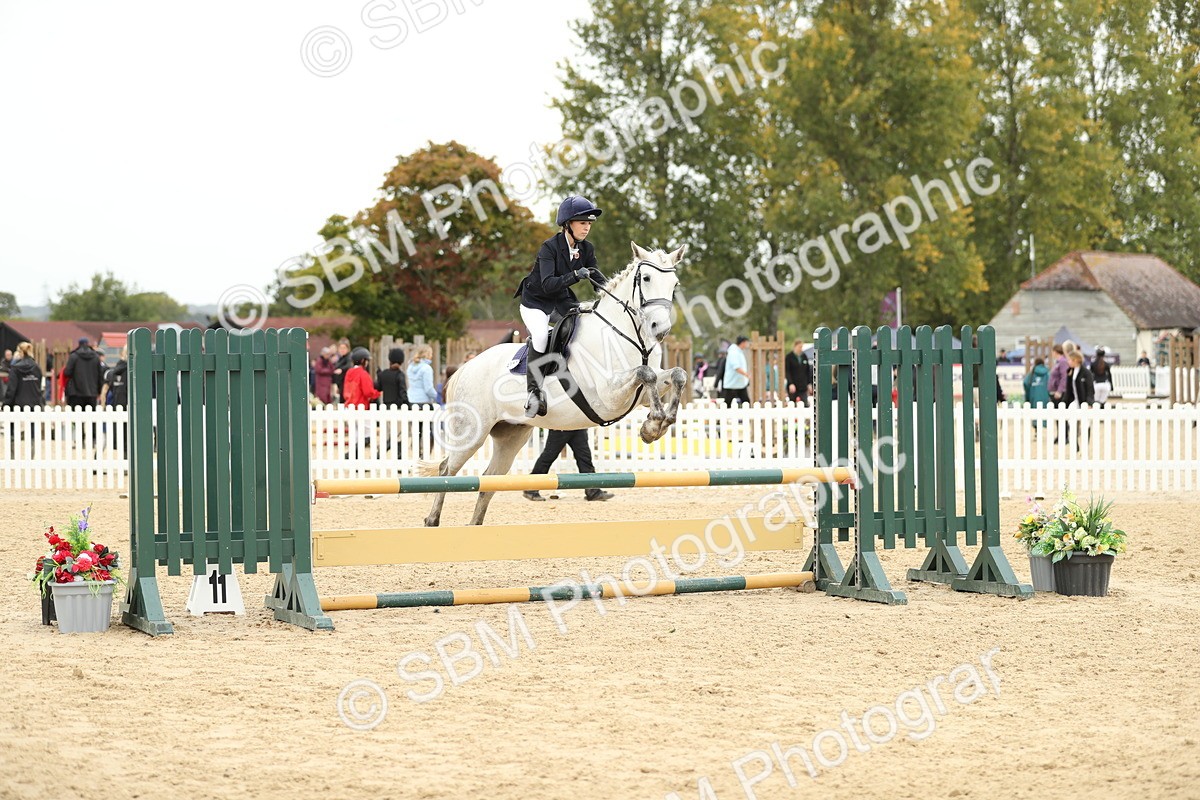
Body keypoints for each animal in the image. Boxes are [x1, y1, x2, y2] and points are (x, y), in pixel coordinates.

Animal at [420, 241, 690, 527]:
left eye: (674, 284)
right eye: (646, 278)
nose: (660, 329)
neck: (626, 334)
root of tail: (465, 369)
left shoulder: (642, 395)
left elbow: (676, 375)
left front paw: (657, 425)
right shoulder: (607, 397)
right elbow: (645, 372)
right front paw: (653, 426)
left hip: (511, 435)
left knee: (489, 480)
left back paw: (474, 526)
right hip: (471, 432)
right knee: (447, 469)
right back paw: (432, 520)